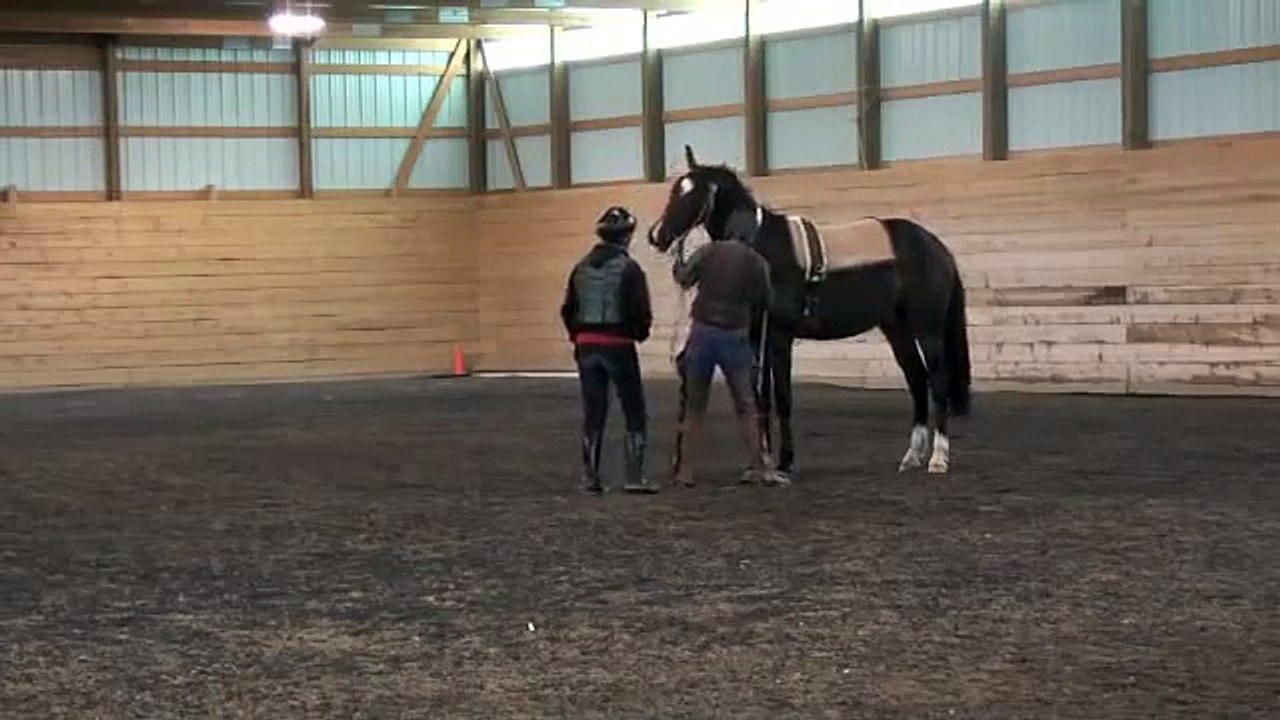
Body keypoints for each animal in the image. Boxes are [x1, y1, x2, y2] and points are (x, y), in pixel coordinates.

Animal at [647, 145, 972, 481]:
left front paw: (784, 461)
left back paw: (938, 458)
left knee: (938, 379)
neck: (762, 247)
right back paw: (911, 457)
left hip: (928, 328)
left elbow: (782, 398)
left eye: (692, 194)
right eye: (675, 190)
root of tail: (936, 247)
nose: (657, 235)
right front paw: (762, 461)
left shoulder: (779, 336)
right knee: (917, 380)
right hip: (897, 328)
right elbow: (760, 395)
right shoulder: (758, 337)